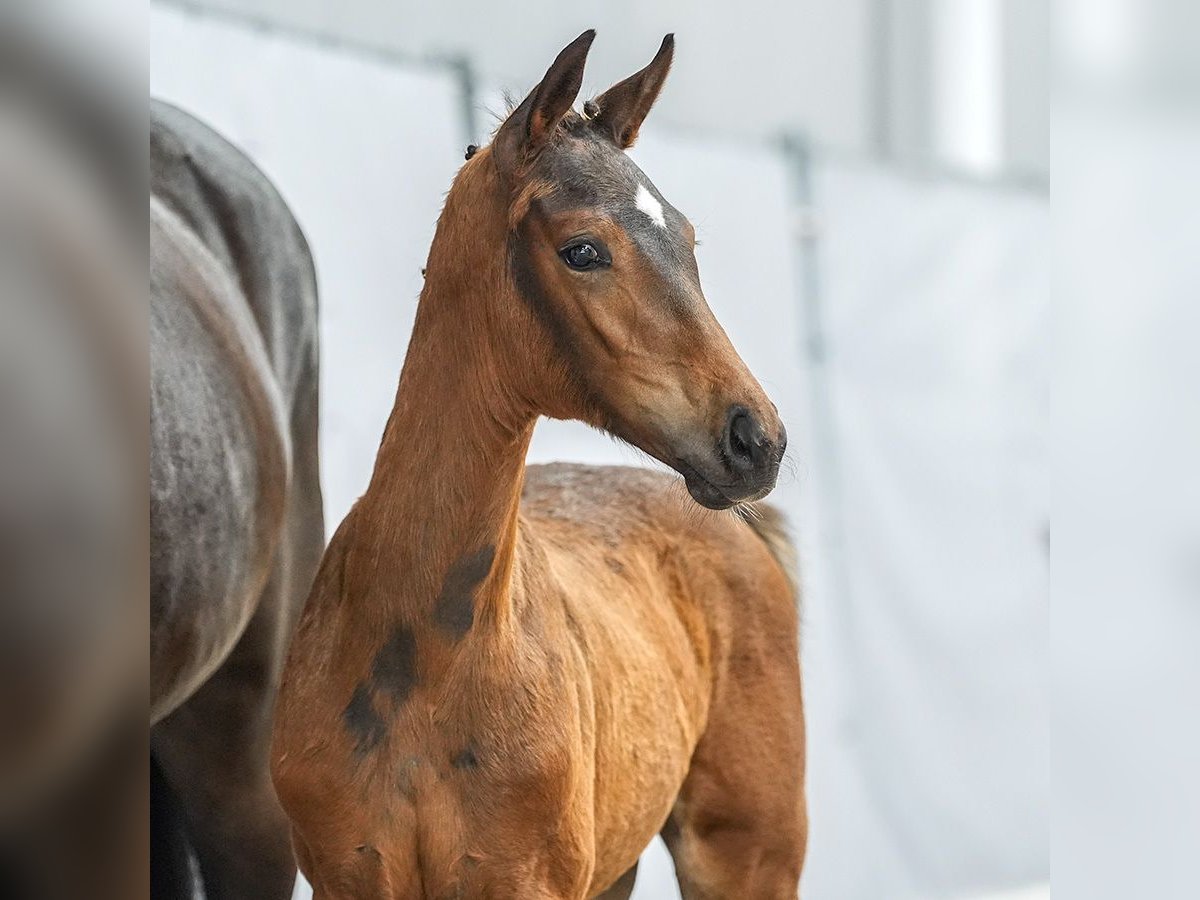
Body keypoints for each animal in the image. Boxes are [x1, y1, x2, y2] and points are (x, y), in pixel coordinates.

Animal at [274, 31, 806, 897]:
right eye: (582, 250)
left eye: (689, 241)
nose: (756, 439)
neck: (423, 664)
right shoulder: (346, 876)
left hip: (748, 854)